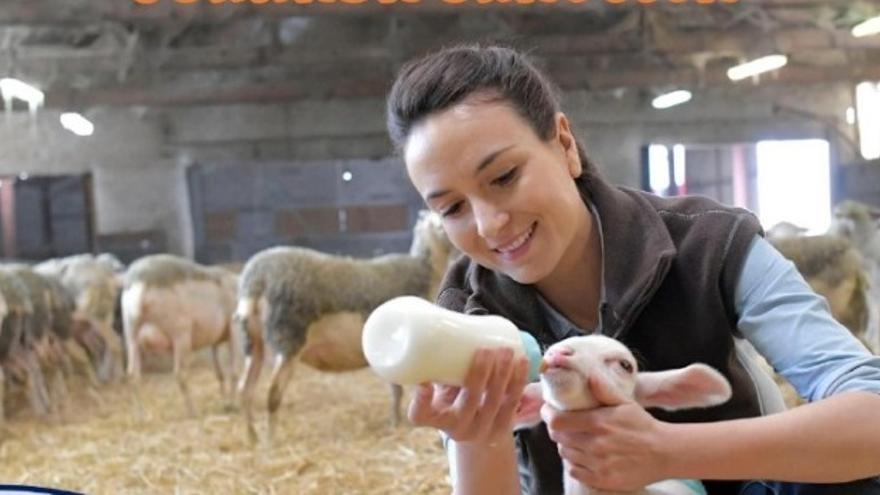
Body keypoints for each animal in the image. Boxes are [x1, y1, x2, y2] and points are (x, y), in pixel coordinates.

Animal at [122, 254, 241, 416]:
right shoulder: (234, 330)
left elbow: (219, 374)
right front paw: (232, 405)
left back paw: (142, 415)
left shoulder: (214, 341)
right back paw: (193, 411)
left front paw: (225, 404)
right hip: (180, 335)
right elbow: (234, 371)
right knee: (180, 374)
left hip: (131, 336)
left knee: (133, 375)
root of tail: (139, 281)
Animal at [235, 211, 454, 444]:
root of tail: (256, 280)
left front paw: (395, 422)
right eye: (439, 222)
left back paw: (252, 437)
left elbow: (395, 390)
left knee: (244, 390)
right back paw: (271, 441)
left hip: (252, 341)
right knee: (272, 394)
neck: (425, 269)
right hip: (288, 338)